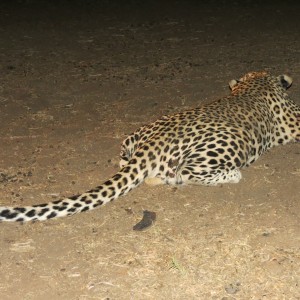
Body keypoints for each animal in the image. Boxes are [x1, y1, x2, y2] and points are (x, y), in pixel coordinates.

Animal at [0, 71, 298, 221]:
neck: (253, 83)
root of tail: (151, 144)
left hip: (132, 139)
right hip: (222, 147)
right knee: (188, 172)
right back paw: (232, 175)